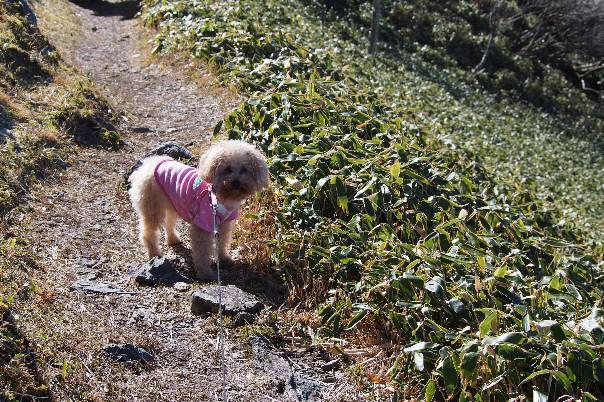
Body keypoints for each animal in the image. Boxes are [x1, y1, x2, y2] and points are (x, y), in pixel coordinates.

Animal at [129, 140, 268, 282]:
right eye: (227, 169)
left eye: (244, 169)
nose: (236, 182)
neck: (220, 198)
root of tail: (147, 164)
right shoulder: (203, 224)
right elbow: (202, 252)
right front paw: (205, 273)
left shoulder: (224, 223)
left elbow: (223, 242)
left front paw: (224, 259)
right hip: (152, 209)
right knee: (148, 233)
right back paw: (154, 254)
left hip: (174, 204)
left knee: (169, 223)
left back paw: (173, 239)